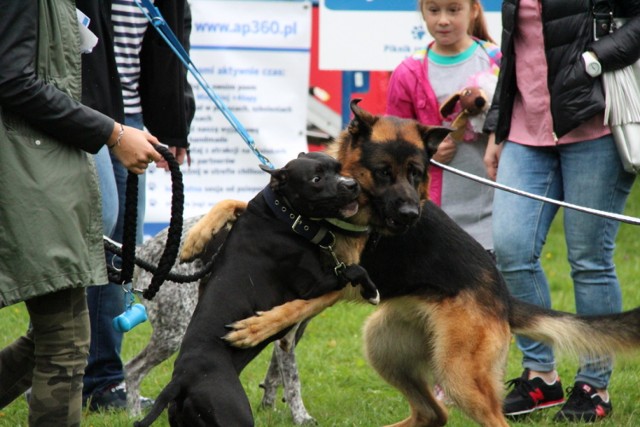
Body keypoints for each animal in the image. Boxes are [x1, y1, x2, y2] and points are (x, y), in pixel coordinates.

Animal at [133, 152, 378, 426]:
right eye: (316, 179)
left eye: (338, 168)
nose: (352, 185)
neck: (281, 215)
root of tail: (179, 382)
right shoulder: (316, 282)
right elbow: (354, 270)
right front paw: (371, 292)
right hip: (229, 408)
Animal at [186, 98, 640, 426]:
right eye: (383, 172)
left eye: (417, 173)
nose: (409, 215)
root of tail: (504, 298)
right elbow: (231, 202)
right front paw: (194, 238)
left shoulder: (340, 279)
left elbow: (297, 305)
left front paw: (256, 327)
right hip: (383, 344)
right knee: (432, 414)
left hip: (459, 375)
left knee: (472, 416)